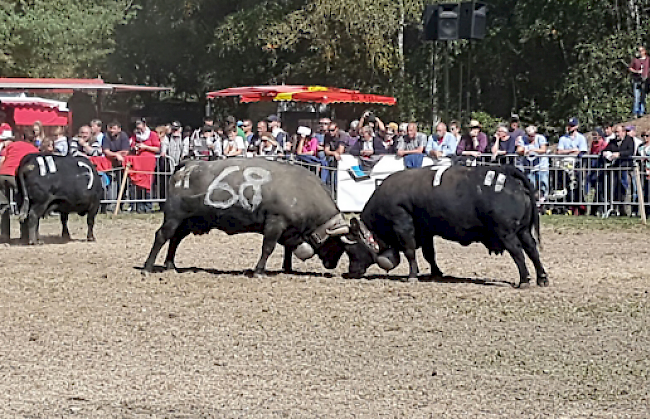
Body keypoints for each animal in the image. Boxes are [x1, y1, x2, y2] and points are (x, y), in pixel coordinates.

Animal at [143, 159, 364, 274]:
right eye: (340, 245)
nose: (332, 265)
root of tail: (186, 167)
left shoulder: (288, 231)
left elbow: (287, 250)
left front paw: (287, 268)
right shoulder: (275, 223)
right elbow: (268, 248)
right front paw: (259, 270)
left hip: (188, 222)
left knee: (174, 240)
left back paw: (170, 265)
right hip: (174, 217)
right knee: (161, 236)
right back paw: (147, 266)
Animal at [344, 164, 548, 288]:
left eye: (350, 250)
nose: (350, 272)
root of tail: (509, 175)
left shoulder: (402, 224)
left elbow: (410, 252)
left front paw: (412, 275)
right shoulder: (426, 231)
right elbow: (429, 254)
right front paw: (436, 273)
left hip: (507, 233)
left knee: (518, 253)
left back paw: (524, 280)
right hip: (523, 231)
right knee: (532, 250)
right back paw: (541, 278)